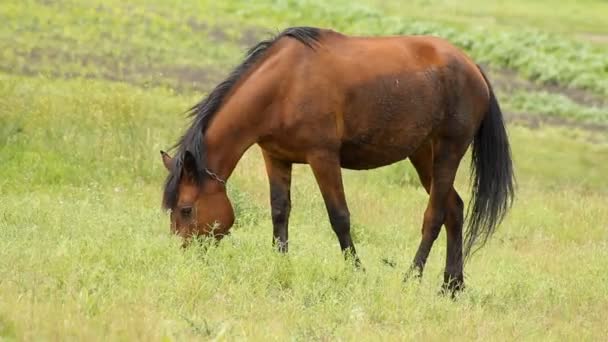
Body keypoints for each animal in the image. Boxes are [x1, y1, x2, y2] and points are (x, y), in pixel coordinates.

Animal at [160, 26, 512, 294]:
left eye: (186, 209)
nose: (183, 256)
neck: (284, 85)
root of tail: (472, 67)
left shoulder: (323, 157)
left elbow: (339, 217)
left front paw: (356, 272)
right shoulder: (275, 157)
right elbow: (280, 212)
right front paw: (280, 264)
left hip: (448, 152)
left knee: (435, 216)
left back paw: (411, 278)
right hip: (424, 154)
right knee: (454, 209)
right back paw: (451, 286)